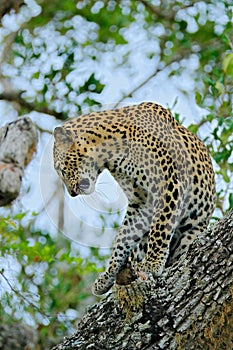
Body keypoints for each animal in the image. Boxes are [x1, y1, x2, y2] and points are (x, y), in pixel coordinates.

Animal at [53, 102, 216, 296]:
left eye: (62, 170)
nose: (71, 193)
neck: (110, 151)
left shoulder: (168, 183)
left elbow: (160, 228)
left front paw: (152, 264)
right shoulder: (142, 202)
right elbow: (124, 237)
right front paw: (108, 275)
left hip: (192, 230)